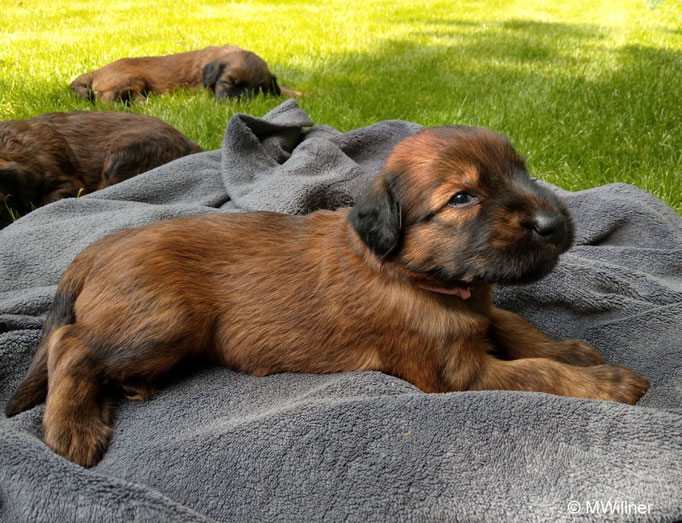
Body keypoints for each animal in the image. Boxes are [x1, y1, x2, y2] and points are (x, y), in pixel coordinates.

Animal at [3, 126, 648, 466]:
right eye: (462, 198)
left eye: (523, 173)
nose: (552, 224)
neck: (412, 274)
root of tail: (96, 248)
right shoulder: (456, 374)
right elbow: (534, 371)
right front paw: (608, 383)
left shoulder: (479, 309)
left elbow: (517, 328)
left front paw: (574, 350)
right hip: (164, 320)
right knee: (71, 344)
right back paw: (73, 428)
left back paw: (133, 388)